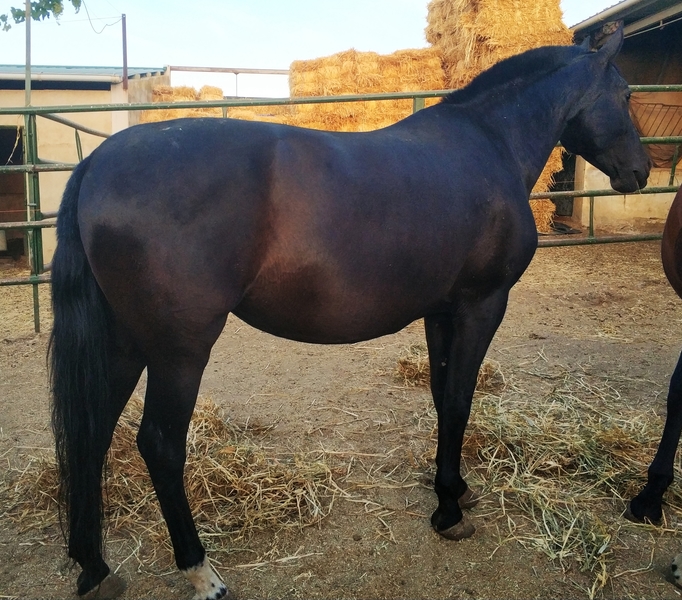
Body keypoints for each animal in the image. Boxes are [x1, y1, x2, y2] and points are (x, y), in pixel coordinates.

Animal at [49, 28, 649, 600]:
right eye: (625, 93)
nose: (641, 172)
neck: (488, 144)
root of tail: (97, 163)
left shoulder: (441, 312)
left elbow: (442, 397)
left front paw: (453, 489)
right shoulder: (481, 305)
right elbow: (460, 400)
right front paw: (449, 512)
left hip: (127, 342)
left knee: (94, 432)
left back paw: (94, 567)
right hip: (180, 350)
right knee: (160, 444)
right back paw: (201, 573)